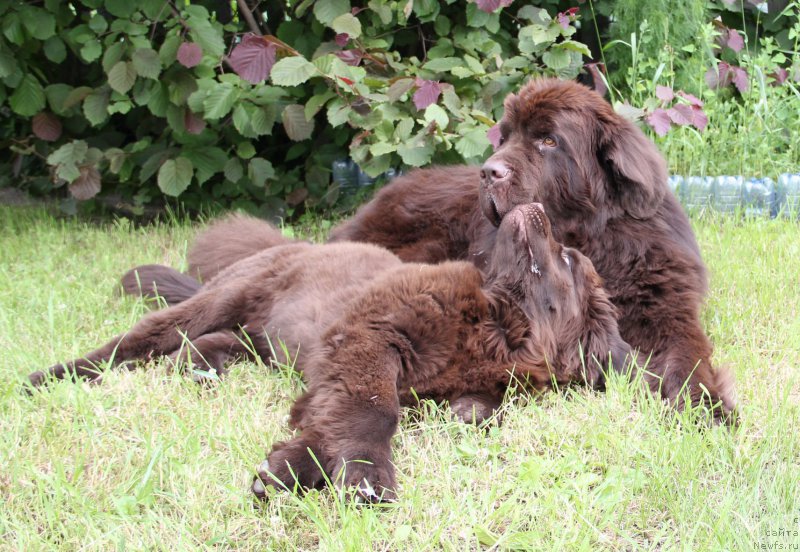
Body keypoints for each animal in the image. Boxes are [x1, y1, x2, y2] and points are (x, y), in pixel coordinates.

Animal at [29, 205, 632, 502]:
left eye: (568, 259)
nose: (534, 202)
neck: (493, 324)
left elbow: (337, 417)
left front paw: (284, 469)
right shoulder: (371, 336)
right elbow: (371, 411)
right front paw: (363, 476)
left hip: (265, 338)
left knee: (217, 344)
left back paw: (202, 369)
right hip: (222, 297)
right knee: (134, 341)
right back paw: (50, 376)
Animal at [332, 77, 736, 422]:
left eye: (548, 141)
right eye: (506, 137)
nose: (489, 172)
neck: (589, 237)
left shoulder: (668, 309)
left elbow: (688, 357)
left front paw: (707, 408)